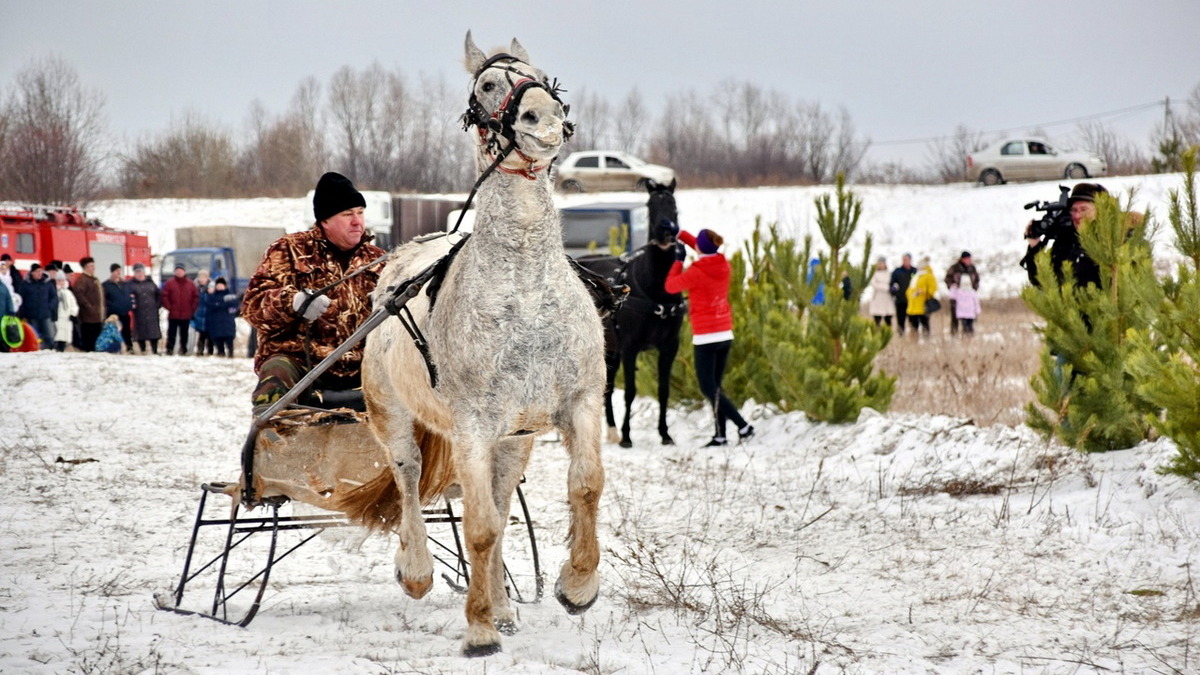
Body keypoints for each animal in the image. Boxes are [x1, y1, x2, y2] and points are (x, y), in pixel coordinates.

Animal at [338, 34, 604, 653]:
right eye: (487, 85)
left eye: (541, 75)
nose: (544, 118)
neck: (525, 289)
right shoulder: (472, 427)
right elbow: (478, 527)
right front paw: (479, 627)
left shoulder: (579, 402)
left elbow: (584, 488)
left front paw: (576, 587)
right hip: (391, 414)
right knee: (409, 478)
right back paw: (416, 571)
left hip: (515, 441)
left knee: (503, 508)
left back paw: (506, 606)